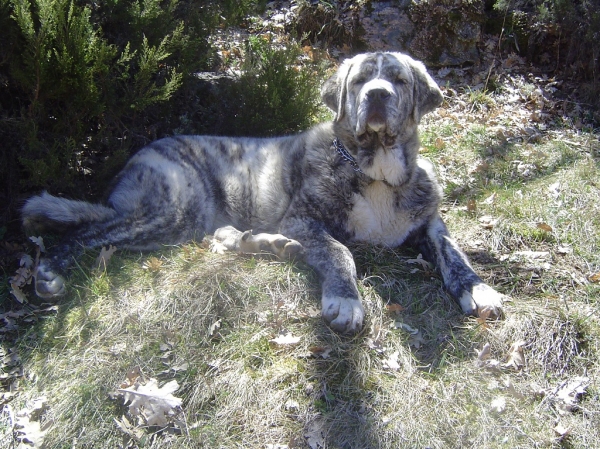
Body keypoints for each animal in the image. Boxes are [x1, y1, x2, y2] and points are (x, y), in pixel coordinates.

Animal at [21, 51, 504, 332]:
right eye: (360, 81)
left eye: (399, 81)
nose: (378, 95)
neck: (376, 172)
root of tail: (138, 154)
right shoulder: (302, 218)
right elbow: (338, 251)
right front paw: (345, 299)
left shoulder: (430, 221)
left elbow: (454, 252)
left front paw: (478, 289)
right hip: (171, 210)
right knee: (90, 230)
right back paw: (50, 272)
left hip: (185, 223)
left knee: (219, 239)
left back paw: (270, 244)